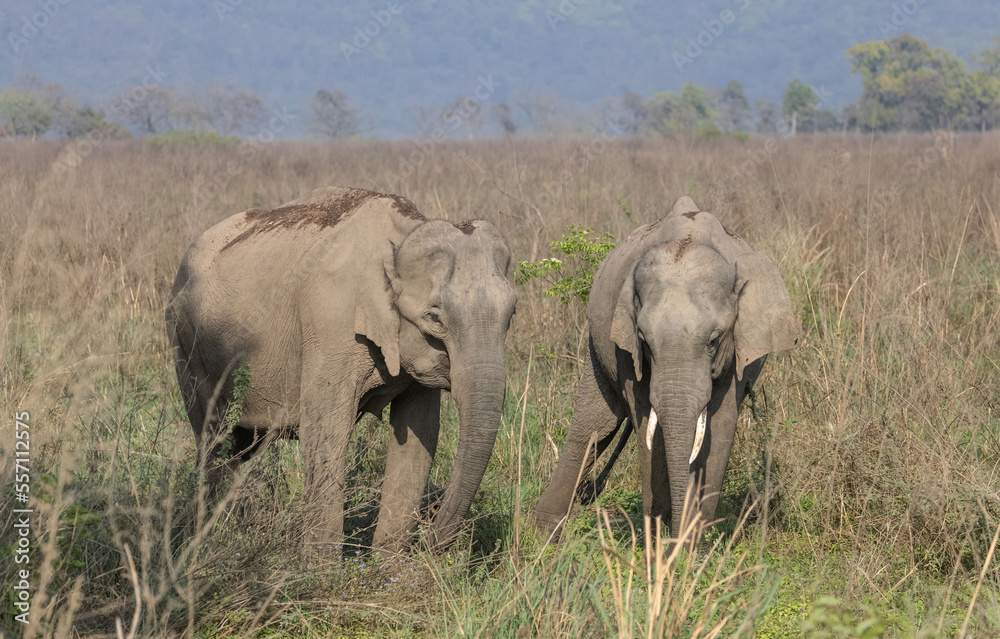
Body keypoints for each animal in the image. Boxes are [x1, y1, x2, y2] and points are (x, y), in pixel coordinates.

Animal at [166, 186, 517, 553]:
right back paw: (203, 540)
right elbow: (326, 431)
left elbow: (419, 434)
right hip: (185, 343)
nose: (430, 530)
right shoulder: (331, 323)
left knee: (240, 447)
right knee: (214, 440)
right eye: (434, 318)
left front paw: (388, 566)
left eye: (513, 313)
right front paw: (320, 566)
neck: (401, 237)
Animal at [534, 196, 798, 543]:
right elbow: (648, 427)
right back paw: (544, 537)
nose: (676, 536)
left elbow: (720, 429)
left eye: (714, 340)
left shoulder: (735, 354)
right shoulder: (627, 351)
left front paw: (692, 548)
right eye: (645, 340)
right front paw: (659, 543)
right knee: (592, 427)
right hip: (596, 344)